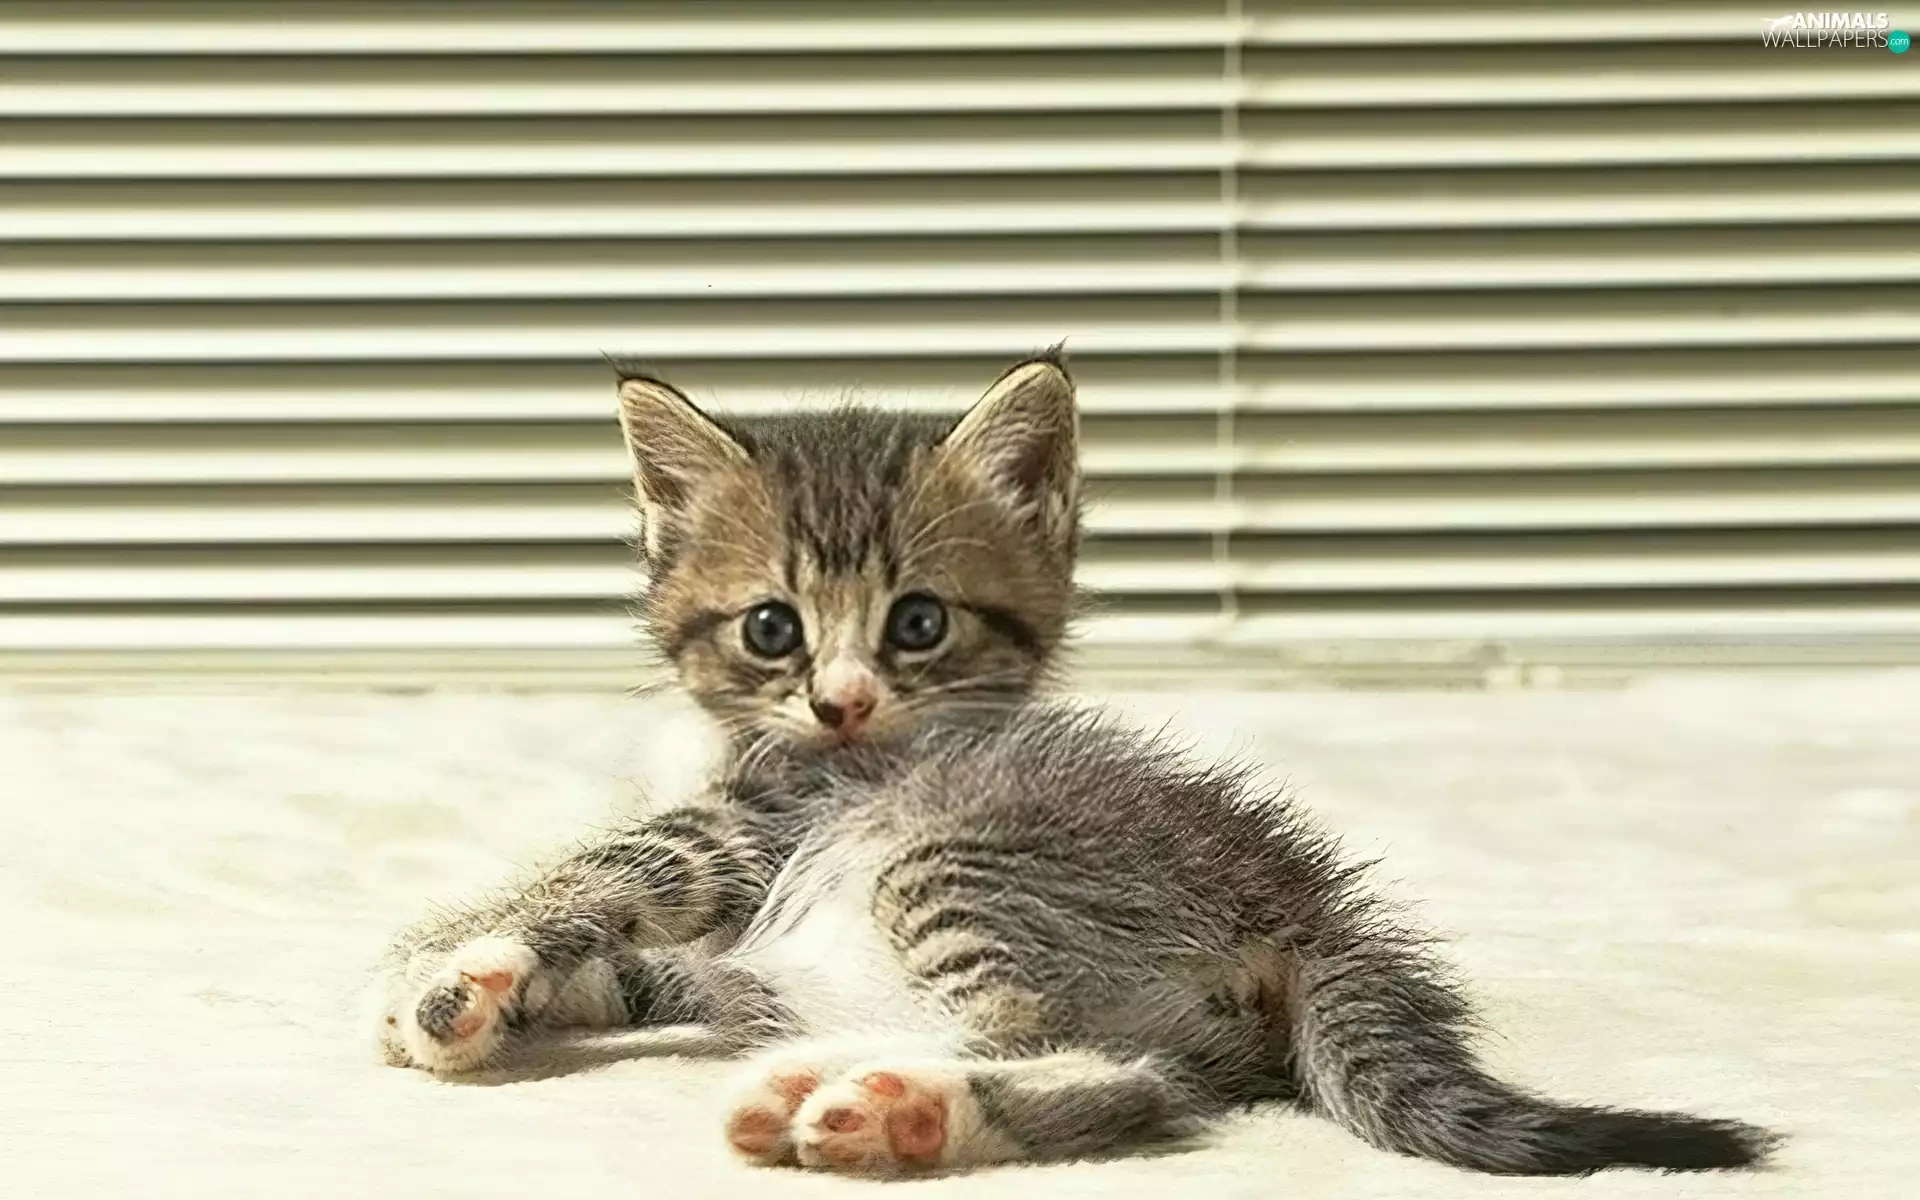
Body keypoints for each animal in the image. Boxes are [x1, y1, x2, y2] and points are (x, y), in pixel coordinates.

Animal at [372, 351, 1775, 1176]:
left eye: (916, 623)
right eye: (771, 628)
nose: (841, 703)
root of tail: (1307, 904)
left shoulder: (755, 824)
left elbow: (608, 868)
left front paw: (441, 960)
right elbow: (629, 962)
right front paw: (504, 990)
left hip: (957, 862)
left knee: (1087, 1054)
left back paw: (889, 1104)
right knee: (1142, 1078)